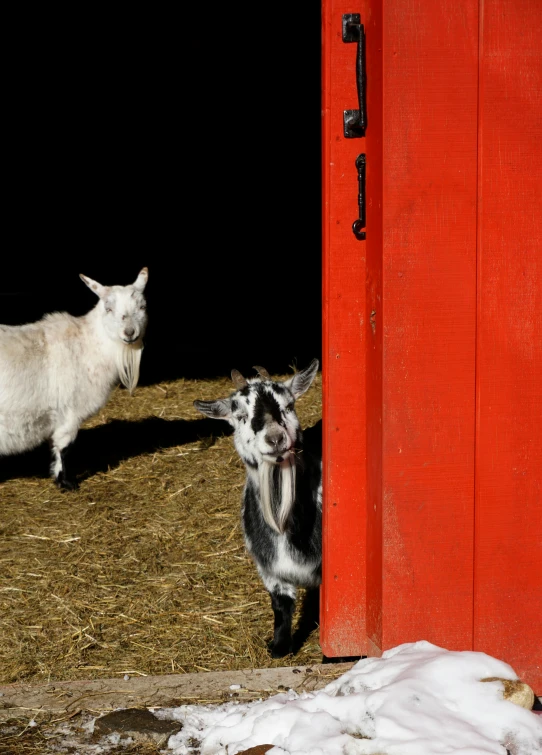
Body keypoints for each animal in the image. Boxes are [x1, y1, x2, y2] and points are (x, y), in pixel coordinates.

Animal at [196, 358, 324, 656]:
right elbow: (280, 605)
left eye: (288, 406)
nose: (275, 438)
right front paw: (279, 646)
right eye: (240, 416)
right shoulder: (269, 569)